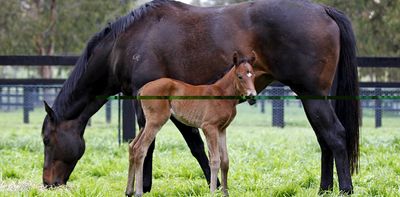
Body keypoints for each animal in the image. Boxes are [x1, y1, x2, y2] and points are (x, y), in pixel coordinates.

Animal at [125, 51, 256, 196]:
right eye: (240, 76)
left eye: (253, 74)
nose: (252, 95)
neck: (221, 94)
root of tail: (142, 89)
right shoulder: (209, 127)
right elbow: (215, 160)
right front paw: (213, 192)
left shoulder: (222, 129)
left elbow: (225, 161)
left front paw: (225, 193)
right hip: (155, 122)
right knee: (140, 148)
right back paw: (138, 192)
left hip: (146, 123)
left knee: (132, 146)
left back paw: (129, 190)